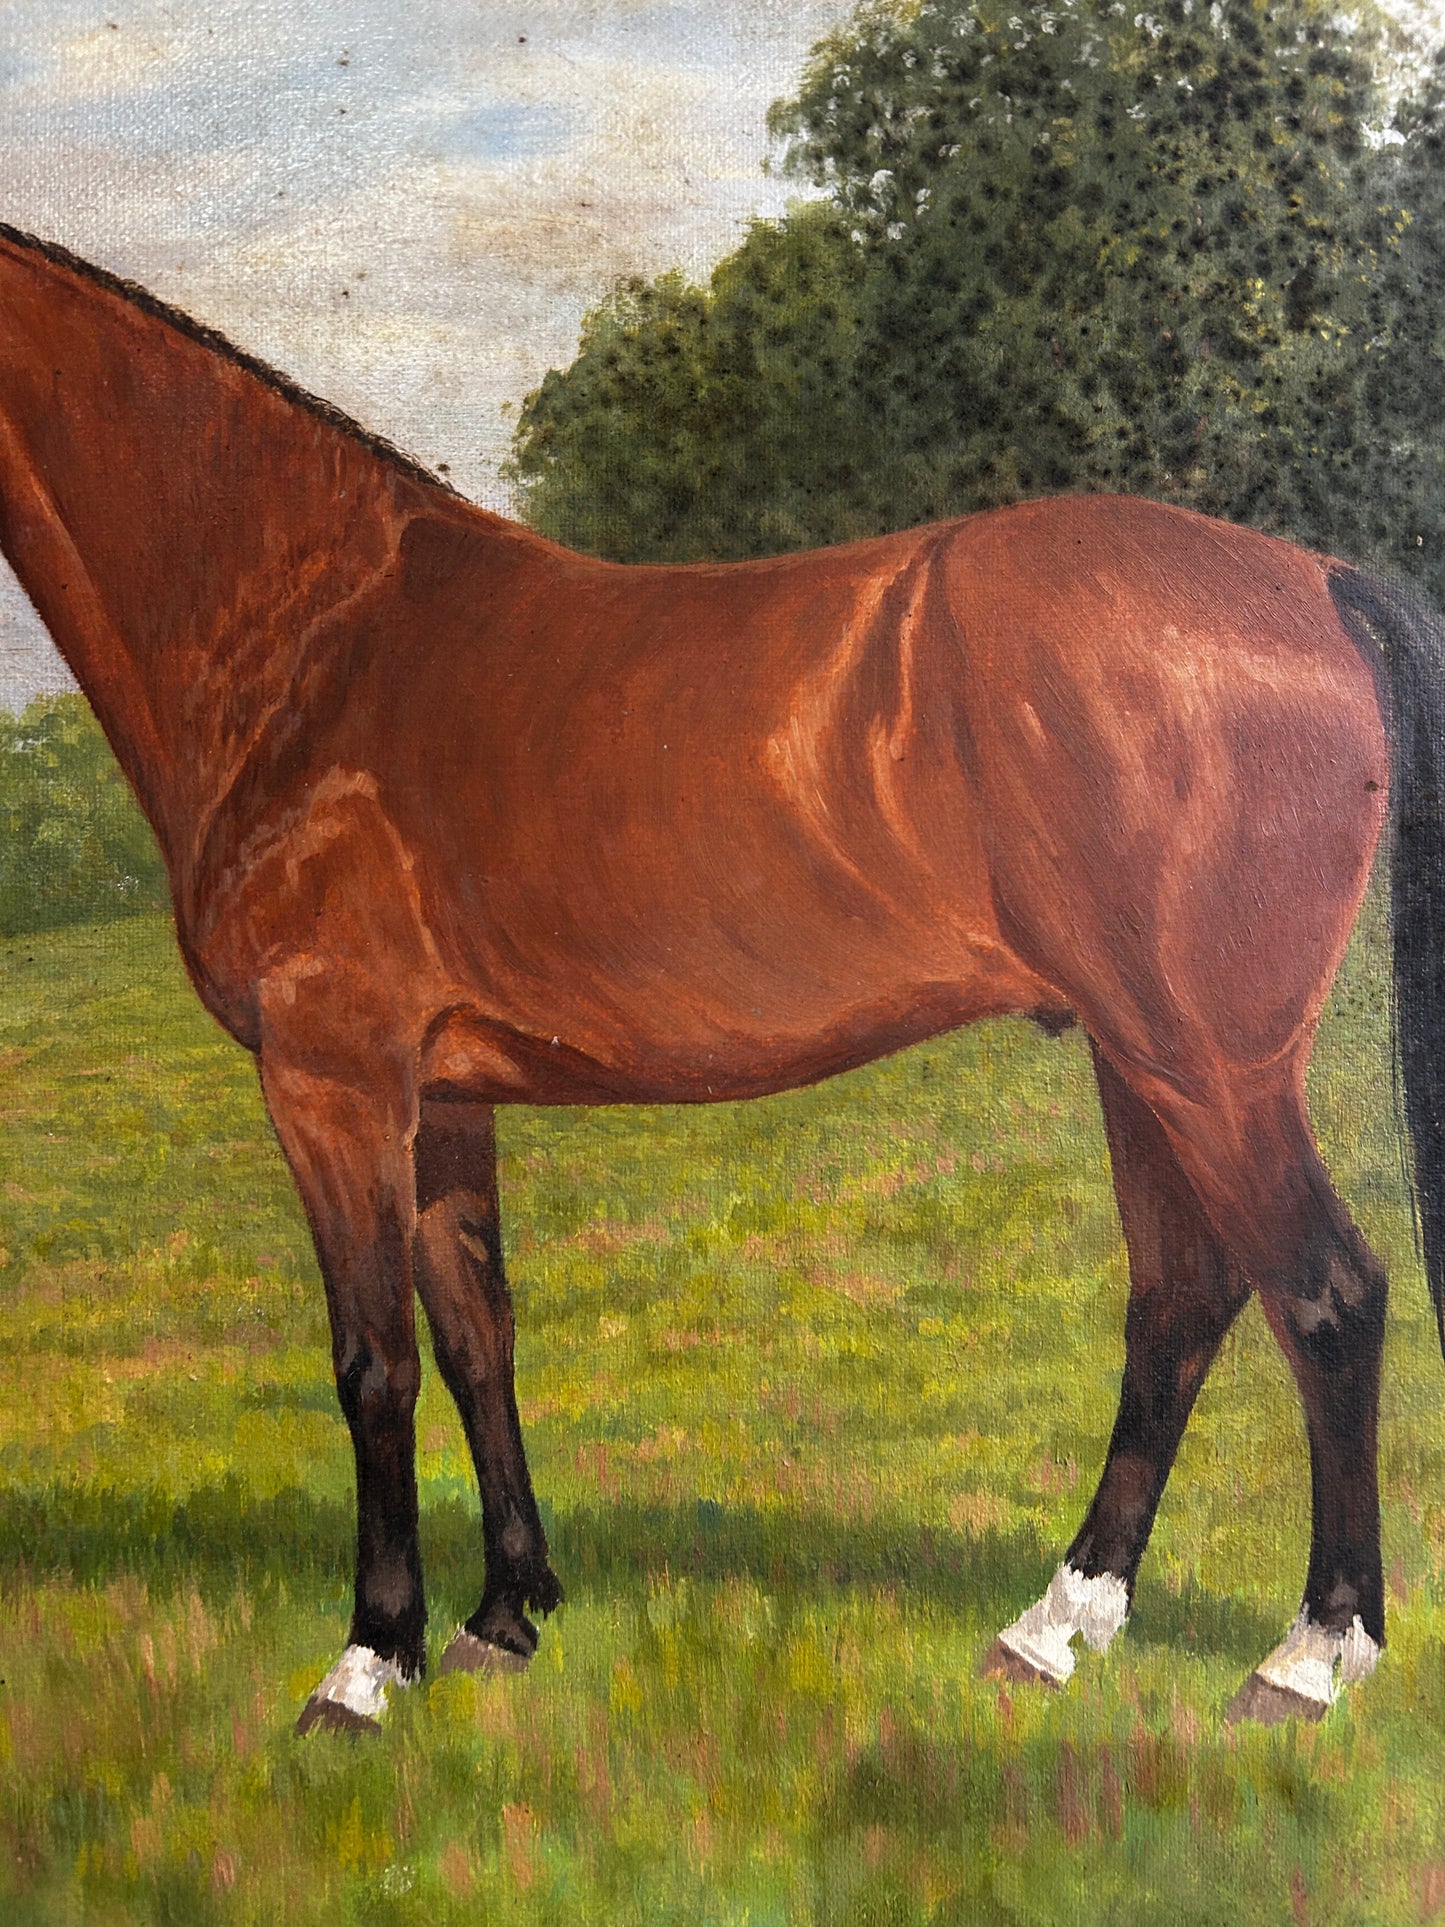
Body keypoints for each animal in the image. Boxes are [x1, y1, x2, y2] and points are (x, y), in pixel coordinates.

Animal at [0, 223, 1440, 1735]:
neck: (318, 632)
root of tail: (1312, 578)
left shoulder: (333, 1075)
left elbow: (371, 1362)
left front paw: (367, 1661)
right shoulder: (441, 1091)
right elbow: (474, 1335)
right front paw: (504, 1615)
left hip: (1207, 1064)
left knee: (1326, 1296)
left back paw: (1306, 1655)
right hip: (1135, 1056)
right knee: (1181, 1298)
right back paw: (1056, 1623)